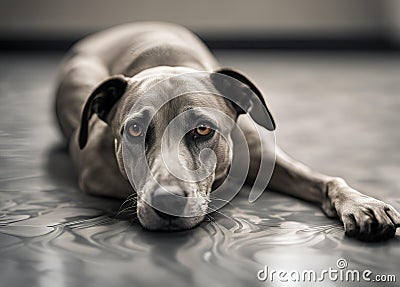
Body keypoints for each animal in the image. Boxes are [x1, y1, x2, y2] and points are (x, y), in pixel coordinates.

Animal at [54, 22, 398, 242]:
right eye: (135, 130)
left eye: (203, 129)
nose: (167, 200)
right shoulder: (93, 170)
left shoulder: (264, 156)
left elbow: (324, 180)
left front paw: (359, 203)